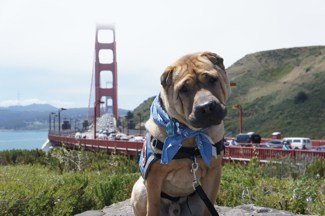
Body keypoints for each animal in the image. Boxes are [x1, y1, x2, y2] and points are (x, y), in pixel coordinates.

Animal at [130, 51, 230, 215]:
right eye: (183, 89)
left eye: (212, 79)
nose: (207, 107)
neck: (190, 135)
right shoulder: (154, 177)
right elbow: (153, 207)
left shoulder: (214, 172)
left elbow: (209, 208)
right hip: (140, 189)